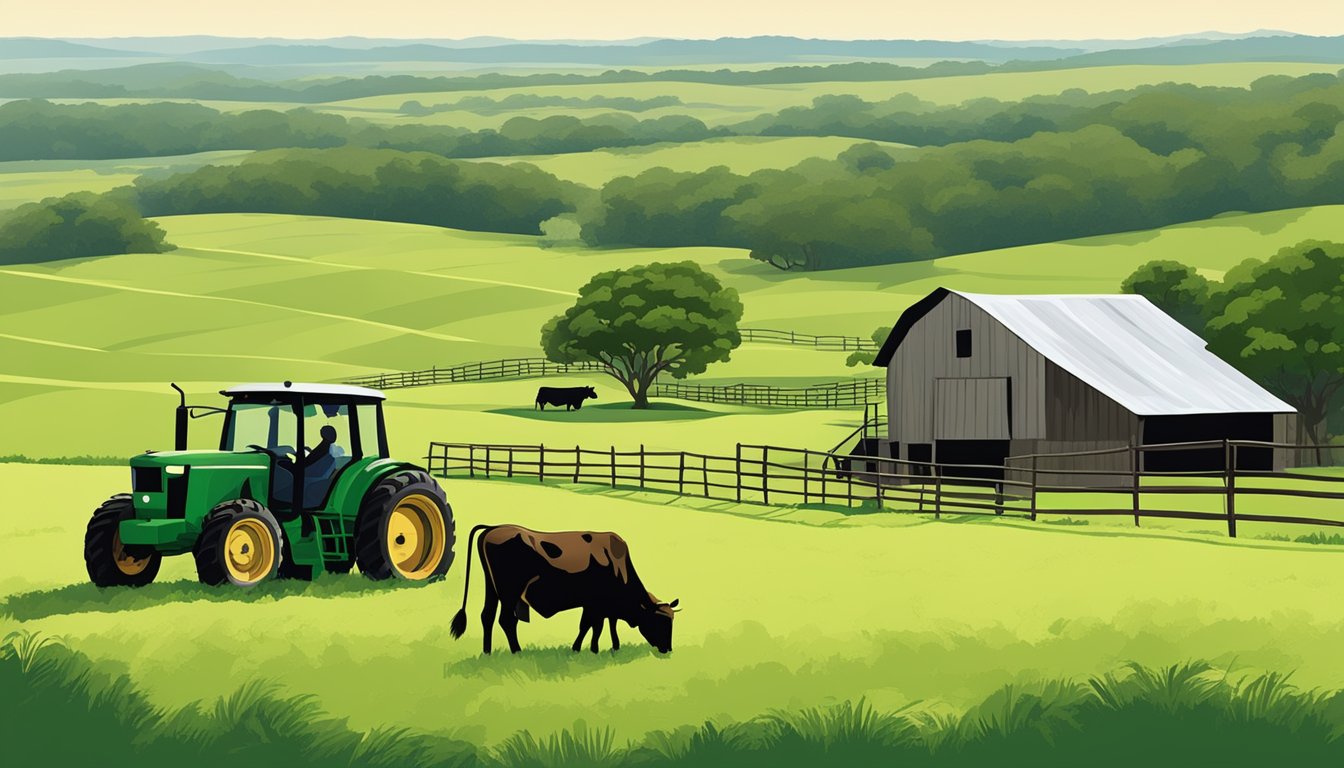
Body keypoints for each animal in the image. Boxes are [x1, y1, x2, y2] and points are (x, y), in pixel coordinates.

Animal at [451, 521, 682, 656]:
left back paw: (487, 652)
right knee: (506, 620)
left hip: (493, 589)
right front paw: (584, 649)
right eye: (661, 622)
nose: (668, 649)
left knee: (487, 616)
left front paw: (609, 647)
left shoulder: (601, 606)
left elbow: (604, 625)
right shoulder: (595, 604)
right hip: (509, 592)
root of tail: (493, 528)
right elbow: (591, 626)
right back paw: (517, 651)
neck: (617, 565)